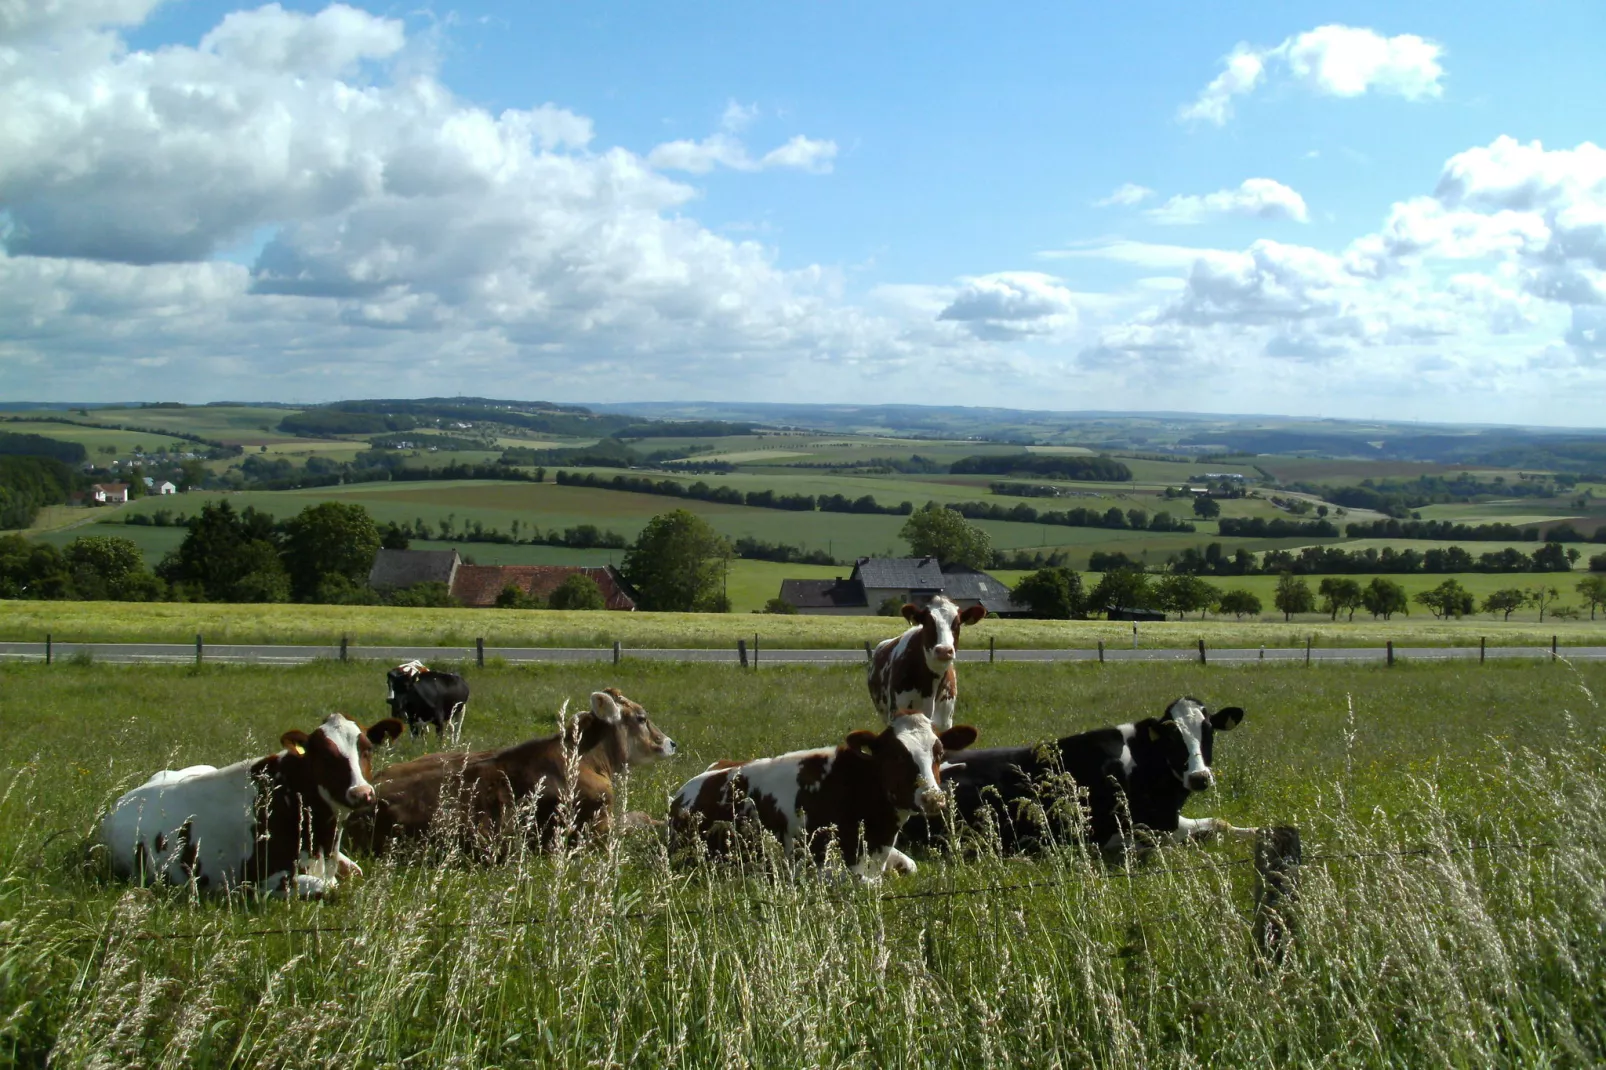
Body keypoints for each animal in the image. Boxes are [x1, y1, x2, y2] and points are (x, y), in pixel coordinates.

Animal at [97, 713, 404, 893]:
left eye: (367, 749)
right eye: (326, 756)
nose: (362, 793)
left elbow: (356, 871)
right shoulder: (259, 880)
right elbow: (329, 888)